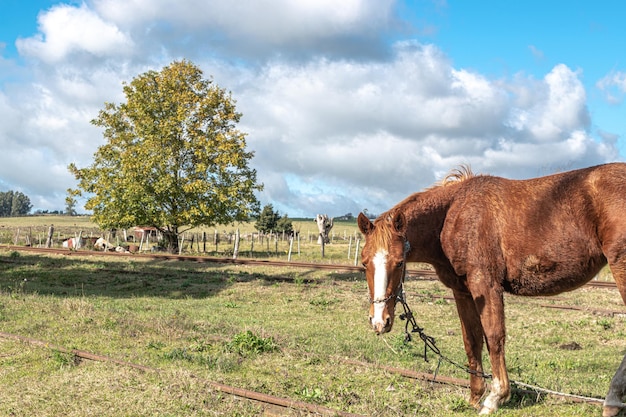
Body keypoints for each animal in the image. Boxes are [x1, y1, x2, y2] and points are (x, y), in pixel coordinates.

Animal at [358, 163, 624, 416]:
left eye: (399, 263)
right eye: (364, 262)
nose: (380, 321)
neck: (455, 213)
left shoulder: (485, 284)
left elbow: (494, 336)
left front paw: (495, 397)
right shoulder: (463, 291)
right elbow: (472, 339)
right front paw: (475, 396)